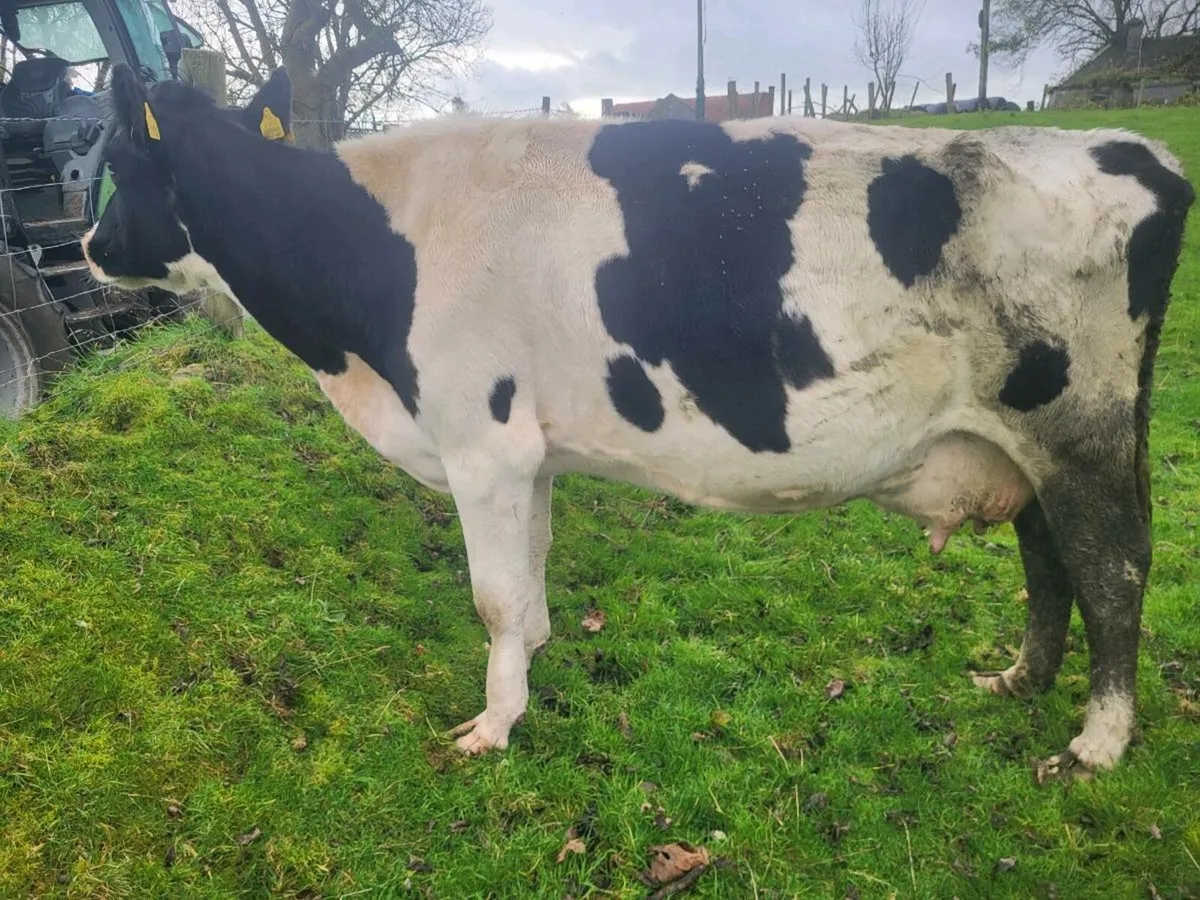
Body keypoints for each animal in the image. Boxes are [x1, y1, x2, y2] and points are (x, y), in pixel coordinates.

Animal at [82, 63, 1194, 774]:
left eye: (114, 166)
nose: (88, 248)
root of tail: (1134, 151)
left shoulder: (481, 443)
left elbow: (492, 598)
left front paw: (490, 729)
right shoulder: (527, 454)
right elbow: (527, 588)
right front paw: (528, 679)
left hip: (1083, 432)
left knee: (1111, 566)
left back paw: (1097, 741)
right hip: (1028, 443)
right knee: (1048, 559)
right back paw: (1020, 680)